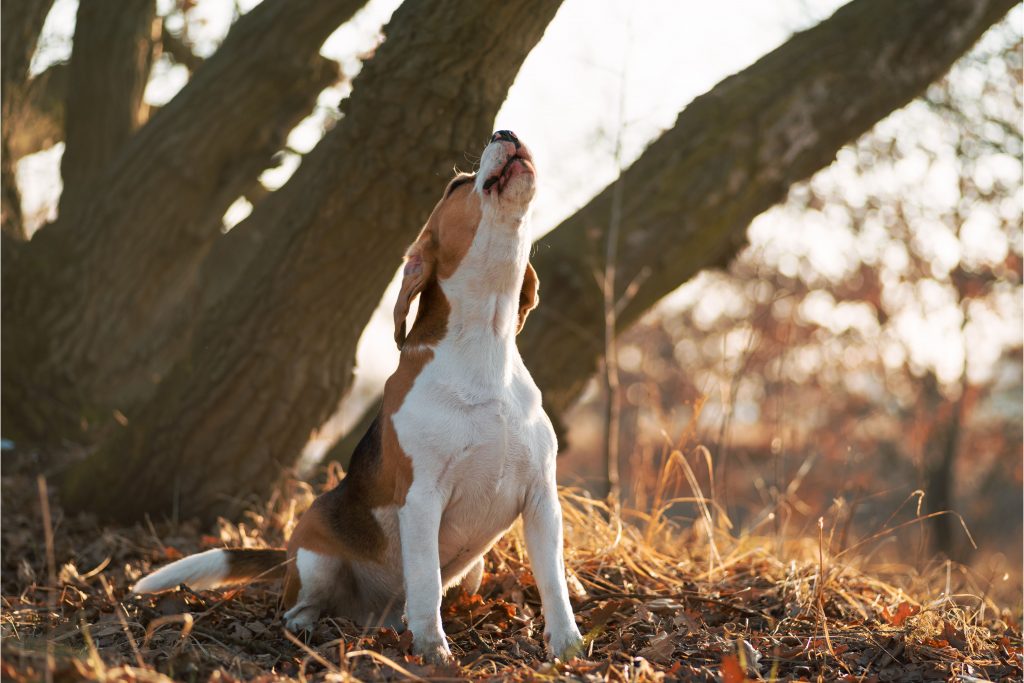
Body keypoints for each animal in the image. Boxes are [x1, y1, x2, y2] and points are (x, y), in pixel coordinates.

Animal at [130, 131, 585, 663]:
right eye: (456, 185)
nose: (506, 133)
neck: (484, 346)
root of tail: (373, 617)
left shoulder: (542, 498)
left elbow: (553, 583)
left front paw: (569, 648)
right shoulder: (422, 497)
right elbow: (425, 582)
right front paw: (432, 652)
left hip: (472, 570)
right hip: (315, 555)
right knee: (299, 606)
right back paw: (309, 629)